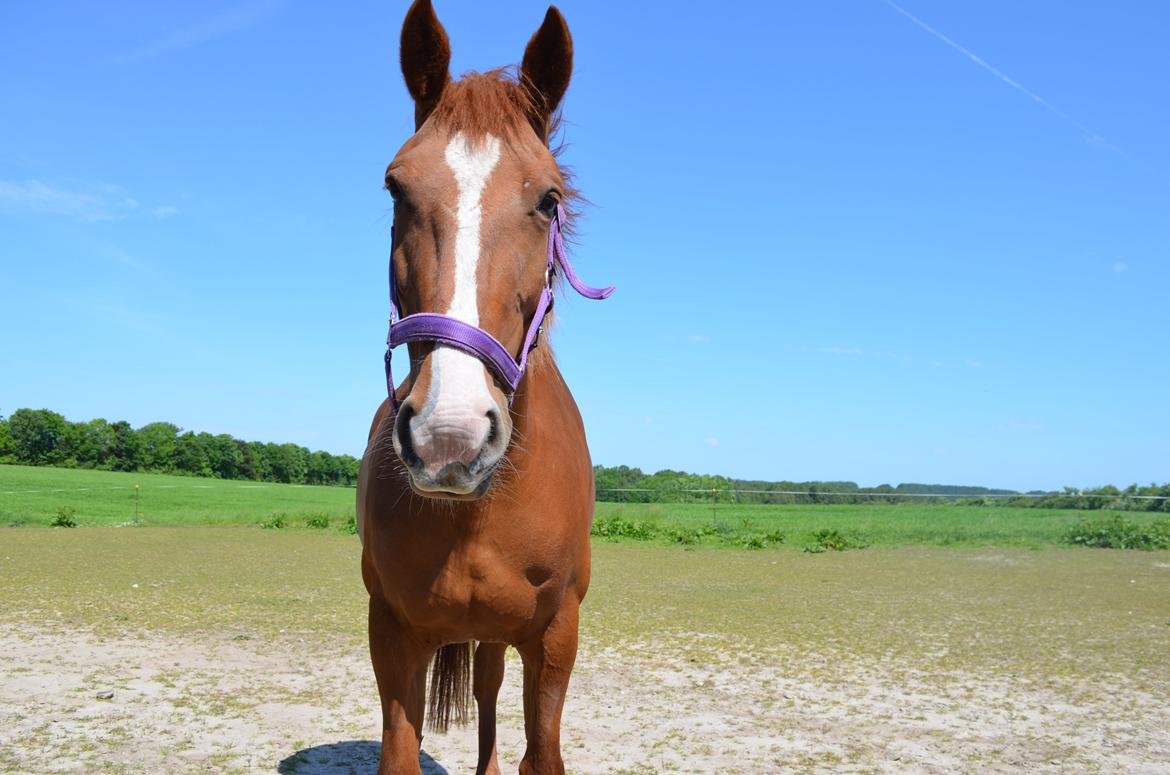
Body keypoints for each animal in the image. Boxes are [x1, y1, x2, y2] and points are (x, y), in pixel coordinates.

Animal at [353, 1, 613, 775]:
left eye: (548, 198)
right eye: (396, 187)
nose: (450, 434)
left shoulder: (555, 636)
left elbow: (540, 753)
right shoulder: (393, 630)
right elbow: (398, 752)